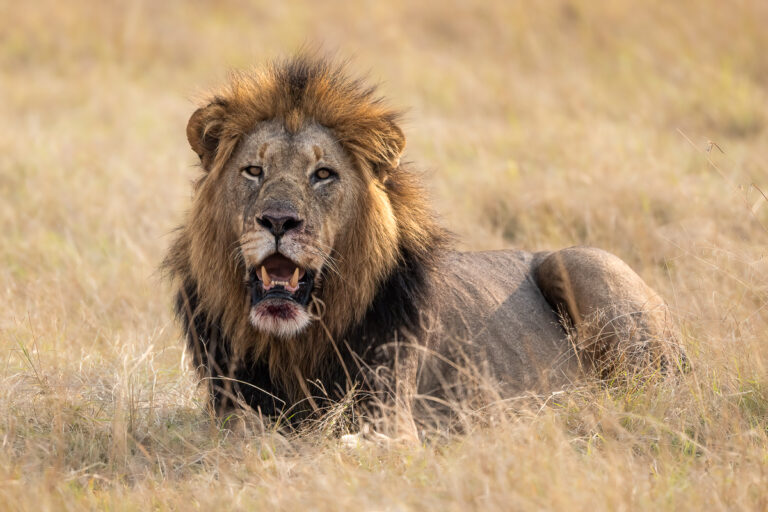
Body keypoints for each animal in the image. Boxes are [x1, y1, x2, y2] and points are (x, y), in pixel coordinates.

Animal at [164, 56, 682, 425]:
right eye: (254, 170)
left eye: (323, 174)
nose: (278, 220)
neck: (294, 345)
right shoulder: (231, 410)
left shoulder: (390, 421)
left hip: (583, 264)